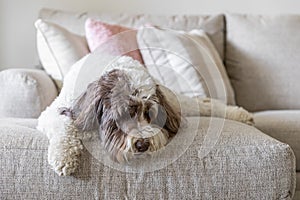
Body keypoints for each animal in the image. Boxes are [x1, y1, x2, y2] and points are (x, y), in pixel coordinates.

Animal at [37, 55, 253, 175]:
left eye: (150, 113)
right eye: (123, 115)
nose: (142, 144)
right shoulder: (53, 114)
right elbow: (65, 127)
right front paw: (64, 158)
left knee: (202, 104)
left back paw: (241, 114)